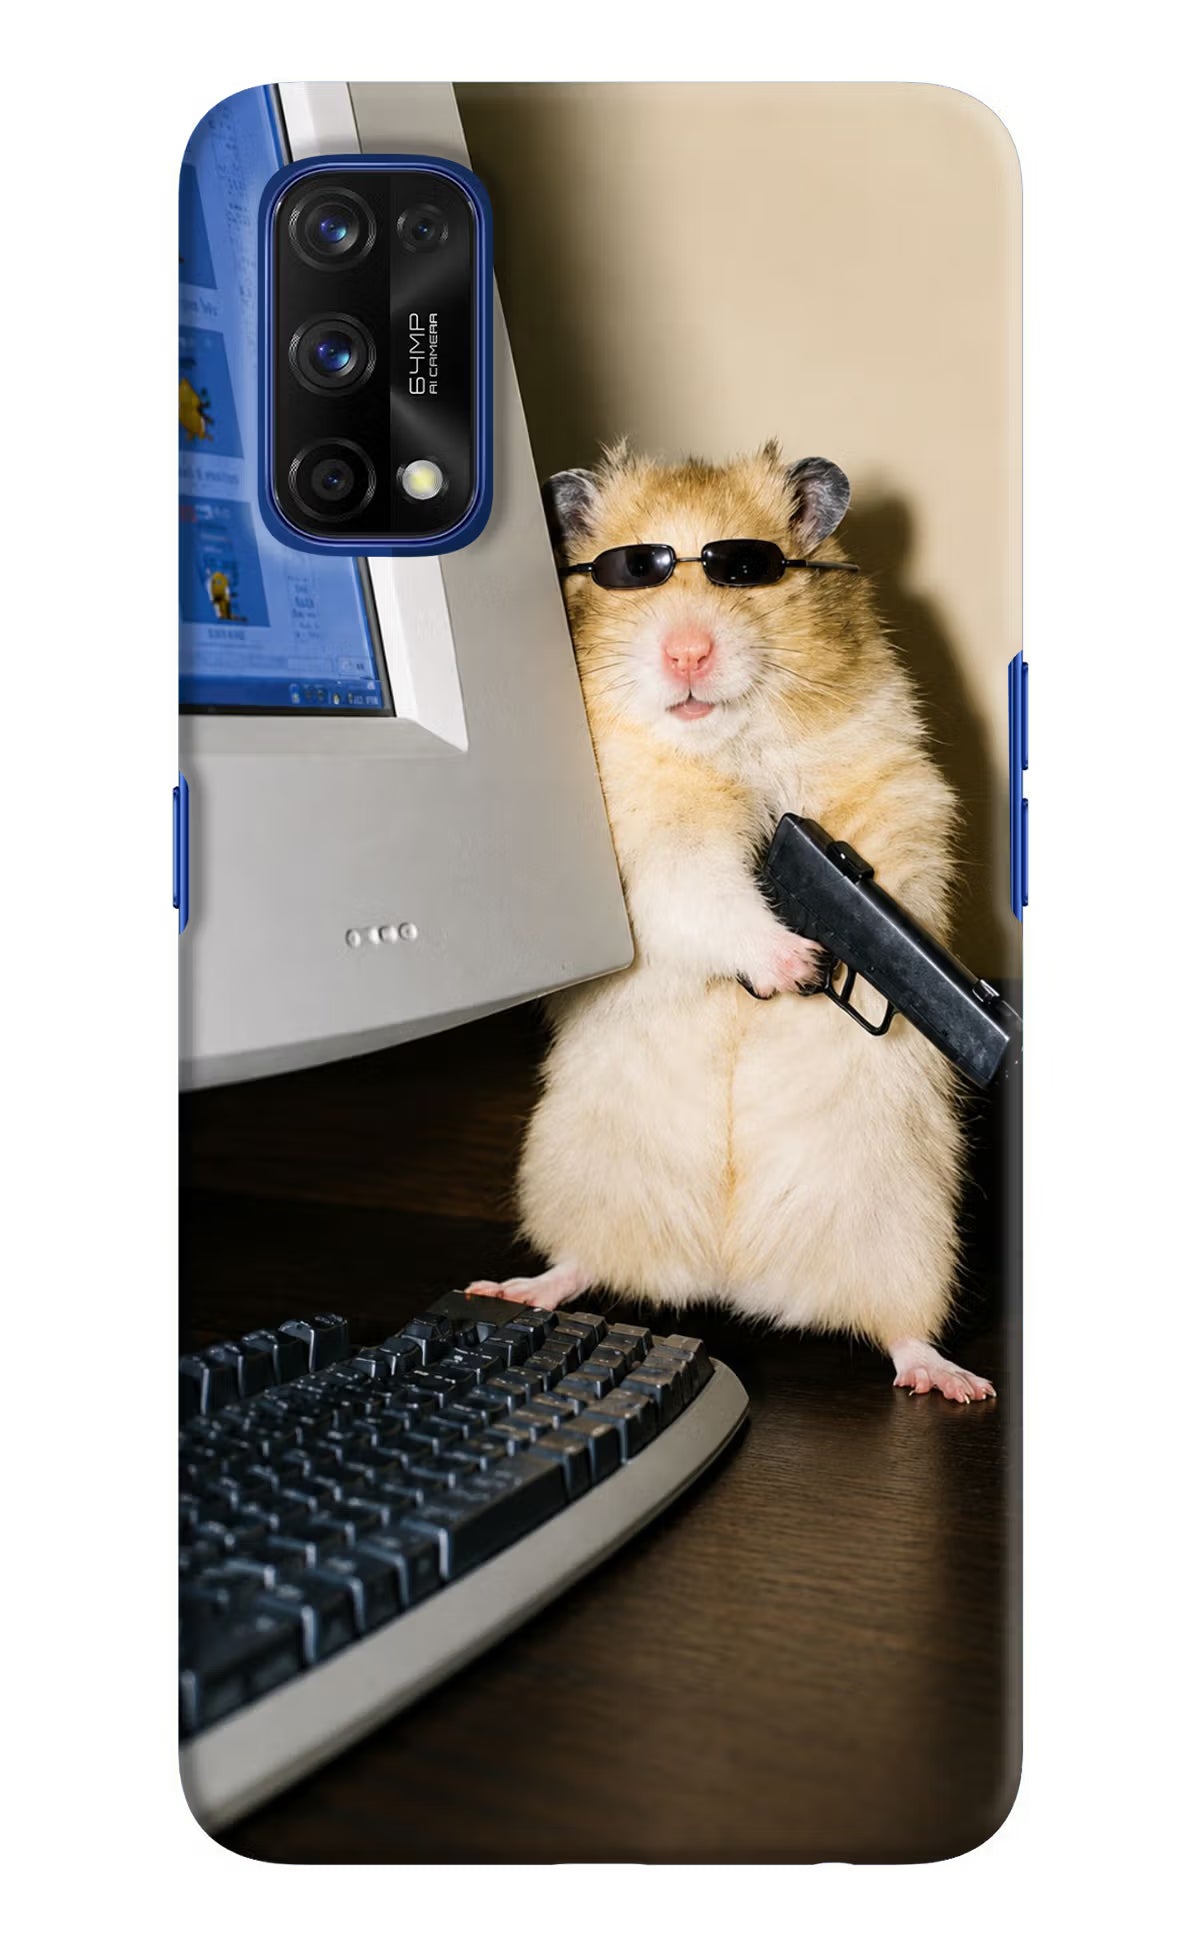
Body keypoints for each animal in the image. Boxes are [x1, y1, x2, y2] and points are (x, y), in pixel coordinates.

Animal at [468, 442, 994, 1403]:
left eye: (746, 570)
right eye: (633, 572)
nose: (686, 653)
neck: (724, 746)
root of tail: (730, 1276)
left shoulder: (895, 790)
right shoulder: (648, 853)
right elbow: (707, 896)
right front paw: (796, 964)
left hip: (907, 1229)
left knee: (900, 1329)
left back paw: (954, 1382)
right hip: (578, 1176)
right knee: (582, 1263)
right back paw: (515, 1288)